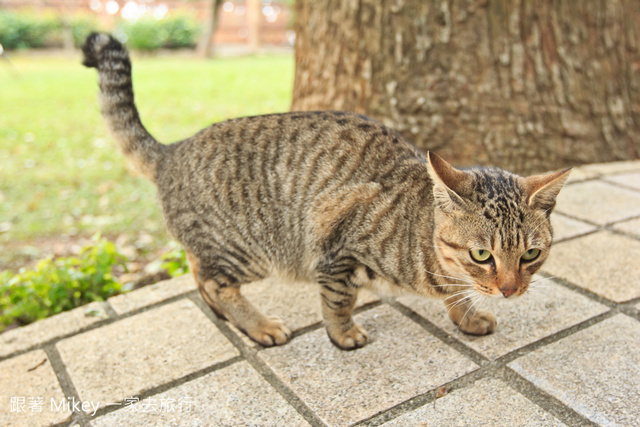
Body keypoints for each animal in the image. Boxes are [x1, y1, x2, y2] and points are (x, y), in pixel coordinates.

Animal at [81, 34, 568, 352]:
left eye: (530, 254)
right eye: (482, 255)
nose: (509, 291)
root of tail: (173, 150)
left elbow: (458, 296)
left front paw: (466, 316)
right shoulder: (337, 250)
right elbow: (338, 302)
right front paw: (343, 334)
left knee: (199, 272)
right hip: (249, 248)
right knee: (216, 283)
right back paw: (259, 327)